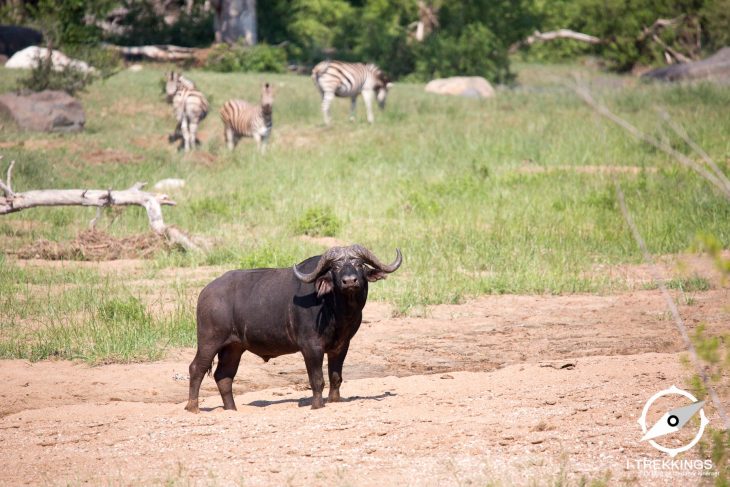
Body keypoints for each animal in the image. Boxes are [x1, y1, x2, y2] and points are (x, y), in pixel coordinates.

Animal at [181, 246, 398, 414]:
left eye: (359, 264)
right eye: (336, 267)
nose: (350, 281)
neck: (336, 310)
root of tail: (206, 292)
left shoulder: (341, 346)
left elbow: (336, 377)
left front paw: (334, 401)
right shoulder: (311, 347)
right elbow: (317, 379)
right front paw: (317, 405)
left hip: (234, 348)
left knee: (223, 376)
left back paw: (231, 409)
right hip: (209, 341)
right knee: (196, 368)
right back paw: (193, 408)